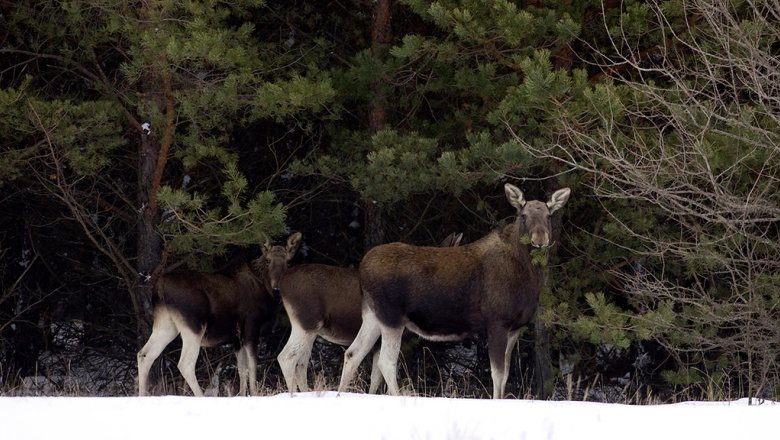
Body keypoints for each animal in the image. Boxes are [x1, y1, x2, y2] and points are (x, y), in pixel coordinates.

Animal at [137, 232, 302, 398]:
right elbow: (252, 366)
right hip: (194, 326)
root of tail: (160, 287)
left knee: (144, 355)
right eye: (268, 260)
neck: (265, 290)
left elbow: (242, 369)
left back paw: (142, 394)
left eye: (288, 261)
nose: (277, 287)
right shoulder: (251, 327)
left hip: (166, 325)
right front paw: (254, 393)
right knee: (185, 363)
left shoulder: (237, 339)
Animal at [278, 232, 460, 394]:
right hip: (307, 321)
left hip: (310, 330)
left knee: (301, 363)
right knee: (287, 357)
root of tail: (282, 283)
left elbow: (375, 377)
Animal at [338, 185, 568, 398]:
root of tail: (362, 269)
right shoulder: (497, 322)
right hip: (392, 317)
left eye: (548, 215)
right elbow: (498, 374)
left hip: (373, 315)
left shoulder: (515, 328)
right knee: (385, 361)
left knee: (353, 353)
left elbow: (506, 375)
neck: (528, 275)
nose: (540, 239)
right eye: (523, 215)